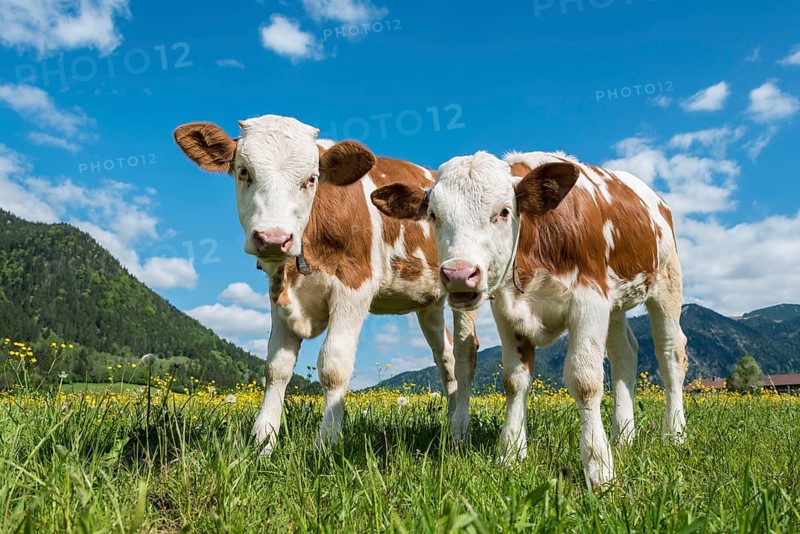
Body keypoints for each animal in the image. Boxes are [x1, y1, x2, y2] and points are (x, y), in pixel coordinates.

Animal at [173, 115, 478, 453]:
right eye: (243, 171)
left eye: (311, 178)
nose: (273, 238)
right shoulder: (278, 293)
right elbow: (276, 367)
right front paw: (263, 441)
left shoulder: (355, 286)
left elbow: (334, 365)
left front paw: (327, 443)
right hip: (429, 300)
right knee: (446, 357)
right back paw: (450, 426)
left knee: (465, 353)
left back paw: (462, 429)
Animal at [371, 150, 688, 488]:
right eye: (433, 215)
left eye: (504, 211)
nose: (458, 274)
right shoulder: (507, 311)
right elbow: (514, 381)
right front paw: (510, 453)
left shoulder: (590, 300)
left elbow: (585, 381)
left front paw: (599, 466)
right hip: (616, 305)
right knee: (624, 354)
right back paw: (624, 436)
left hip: (667, 282)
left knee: (671, 353)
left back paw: (674, 433)